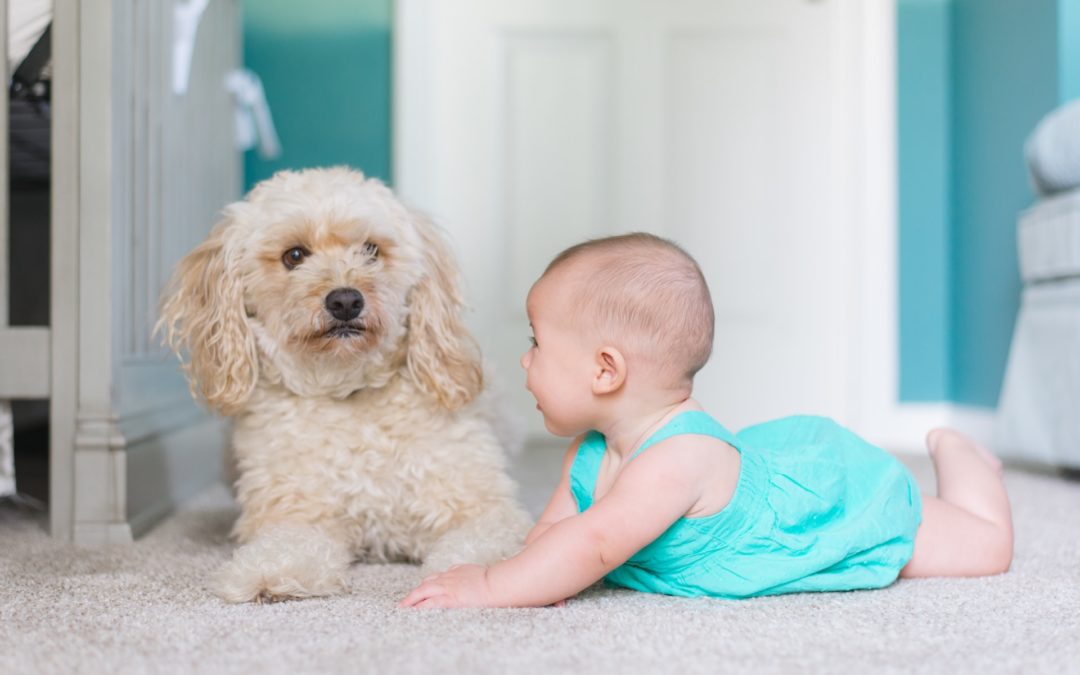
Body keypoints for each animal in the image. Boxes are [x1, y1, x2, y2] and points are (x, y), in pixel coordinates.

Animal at [157, 166, 529, 604]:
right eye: (294, 256)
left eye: (371, 250)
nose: (346, 301)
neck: (348, 391)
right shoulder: (297, 513)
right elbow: (288, 544)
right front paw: (271, 572)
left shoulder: (483, 508)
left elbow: (482, 543)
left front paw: (471, 577)